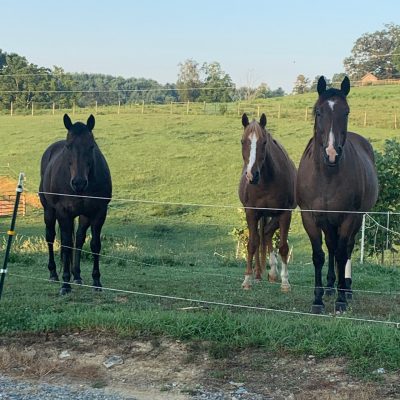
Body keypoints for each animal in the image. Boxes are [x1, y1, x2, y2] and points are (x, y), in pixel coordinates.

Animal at [39, 114, 111, 296]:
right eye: (68, 146)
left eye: (91, 146)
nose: (79, 182)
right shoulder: (64, 213)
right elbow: (65, 245)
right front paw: (65, 284)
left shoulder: (99, 213)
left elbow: (94, 245)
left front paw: (96, 281)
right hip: (49, 211)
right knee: (50, 237)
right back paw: (53, 273)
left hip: (83, 216)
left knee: (78, 239)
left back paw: (77, 275)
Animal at [238, 112, 296, 290]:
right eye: (243, 141)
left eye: (264, 142)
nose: (252, 175)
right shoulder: (251, 212)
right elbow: (252, 244)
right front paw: (247, 280)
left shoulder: (285, 213)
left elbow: (283, 247)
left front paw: (285, 282)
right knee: (261, 237)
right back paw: (258, 274)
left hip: (274, 215)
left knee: (267, 233)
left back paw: (273, 273)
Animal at [296, 76, 378, 314]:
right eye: (318, 111)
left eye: (346, 112)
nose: (331, 153)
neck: (327, 175)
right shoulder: (310, 216)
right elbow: (319, 255)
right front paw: (318, 300)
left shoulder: (348, 217)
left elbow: (342, 254)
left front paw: (341, 300)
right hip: (328, 221)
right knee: (331, 247)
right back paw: (330, 286)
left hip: (355, 219)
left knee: (346, 248)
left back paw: (345, 289)